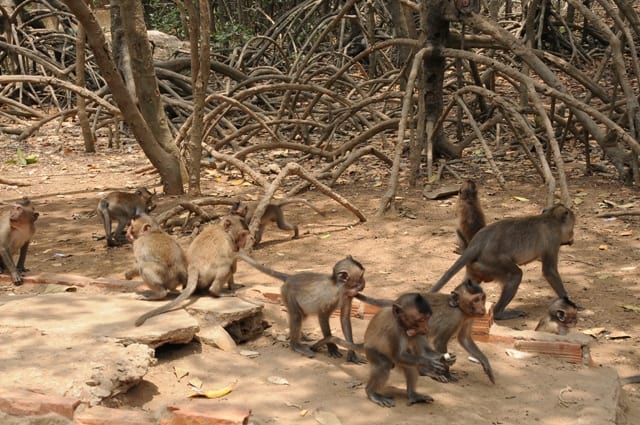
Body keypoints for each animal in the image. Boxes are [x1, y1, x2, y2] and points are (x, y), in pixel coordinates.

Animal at [235, 250, 368, 362]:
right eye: (361, 277)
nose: (364, 284)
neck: (339, 287)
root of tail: (291, 277)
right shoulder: (330, 297)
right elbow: (323, 317)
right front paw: (331, 347)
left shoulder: (348, 296)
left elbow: (344, 319)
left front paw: (352, 354)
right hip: (287, 293)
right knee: (296, 316)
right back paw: (295, 345)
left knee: (301, 316)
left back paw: (301, 336)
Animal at [312, 294, 448, 406]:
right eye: (421, 320)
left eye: (427, 319)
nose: (426, 328)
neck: (402, 326)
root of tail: (365, 342)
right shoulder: (393, 330)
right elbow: (399, 356)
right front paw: (430, 363)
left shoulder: (416, 332)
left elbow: (424, 352)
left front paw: (446, 358)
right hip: (371, 351)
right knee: (384, 364)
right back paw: (371, 392)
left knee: (409, 365)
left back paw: (413, 395)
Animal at [356, 280, 496, 382]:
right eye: (475, 300)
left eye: (482, 298)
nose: (482, 308)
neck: (460, 308)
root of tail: (396, 302)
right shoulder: (455, 318)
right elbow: (440, 341)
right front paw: (447, 373)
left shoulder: (468, 318)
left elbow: (464, 339)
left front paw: (486, 364)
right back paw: (425, 371)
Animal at [430, 204, 576, 320]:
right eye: (572, 227)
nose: (572, 236)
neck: (550, 217)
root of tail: (477, 242)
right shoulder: (553, 239)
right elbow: (549, 271)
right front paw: (568, 302)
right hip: (491, 261)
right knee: (516, 275)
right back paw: (499, 314)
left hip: (476, 267)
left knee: (470, 282)